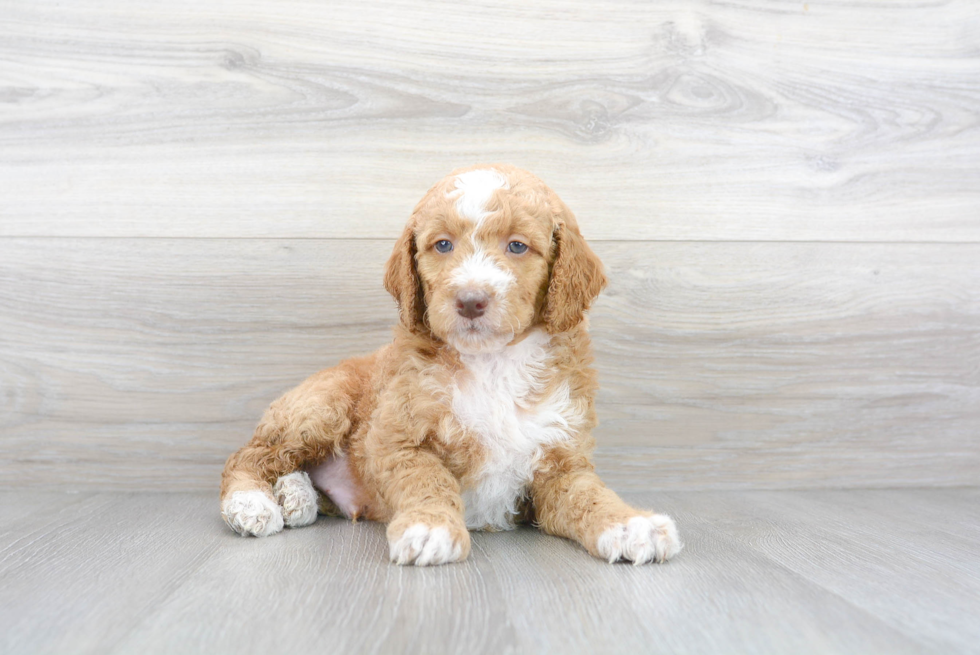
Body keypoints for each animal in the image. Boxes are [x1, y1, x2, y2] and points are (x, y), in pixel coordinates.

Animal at [221, 161, 680, 568]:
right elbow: (429, 481)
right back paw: (253, 501)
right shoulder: (397, 440)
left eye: (517, 246)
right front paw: (430, 527)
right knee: (252, 454)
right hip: (321, 406)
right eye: (442, 245)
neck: (493, 363)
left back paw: (296, 497)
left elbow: (590, 495)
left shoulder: (561, 460)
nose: (470, 300)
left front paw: (630, 525)